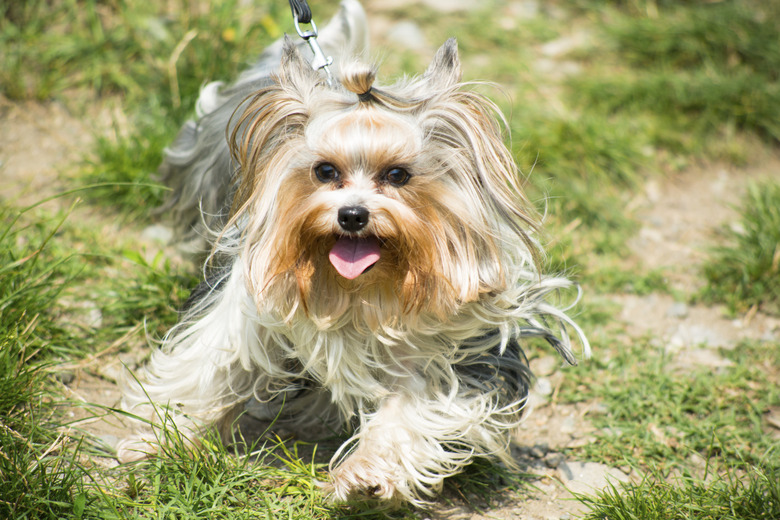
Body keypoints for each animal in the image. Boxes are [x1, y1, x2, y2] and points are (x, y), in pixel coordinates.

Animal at [119, 0, 588, 504]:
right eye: (325, 171)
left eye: (398, 175)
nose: (352, 215)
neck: (357, 290)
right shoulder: (245, 308)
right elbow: (210, 364)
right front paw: (156, 440)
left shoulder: (438, 345)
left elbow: (412, 404)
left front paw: (366, 477)